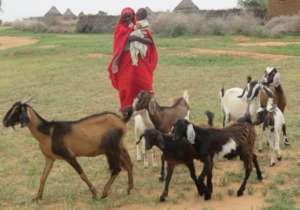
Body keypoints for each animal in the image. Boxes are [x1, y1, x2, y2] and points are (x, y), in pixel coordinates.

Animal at [2, 101, 134, 201]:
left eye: (16, 111)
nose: (4, 122)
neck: (48, 133)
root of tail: (121, 120)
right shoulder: (49, 158)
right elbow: (43, 177)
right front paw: (37, 197)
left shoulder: (69, 156)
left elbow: (82, 175)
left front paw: (94, 193)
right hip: (119, 146)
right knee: (128, 163)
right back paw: (129, 188)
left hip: (111, 149)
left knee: (116, 169)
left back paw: (104, 193)